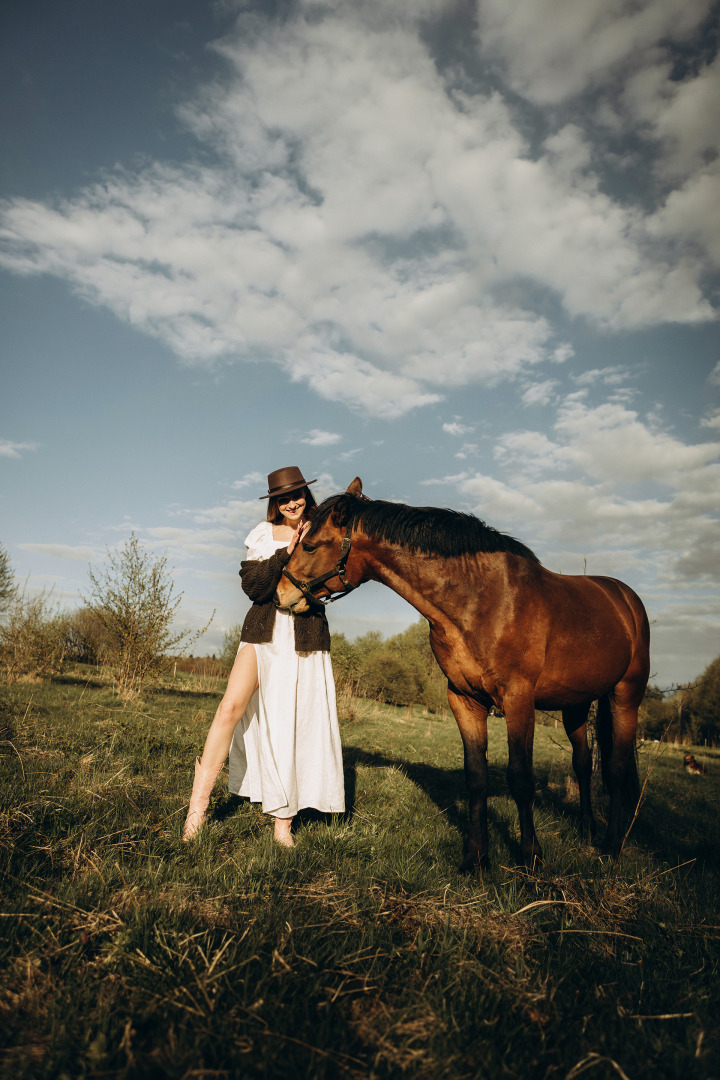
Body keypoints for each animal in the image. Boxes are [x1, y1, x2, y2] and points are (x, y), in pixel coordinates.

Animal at [274, 481, 647, 868]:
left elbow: (521, 779)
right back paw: (588, 829)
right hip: (576, 704)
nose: (280, 594)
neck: (483, 601)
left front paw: (530, 856)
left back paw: (612, 842)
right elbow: (476, 778)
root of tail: (624, 598)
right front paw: (475, 858)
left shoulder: (518, 699)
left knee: (617, 768)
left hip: (626, 696)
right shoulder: (464, 699)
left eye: (310, 546)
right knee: (584, 764)